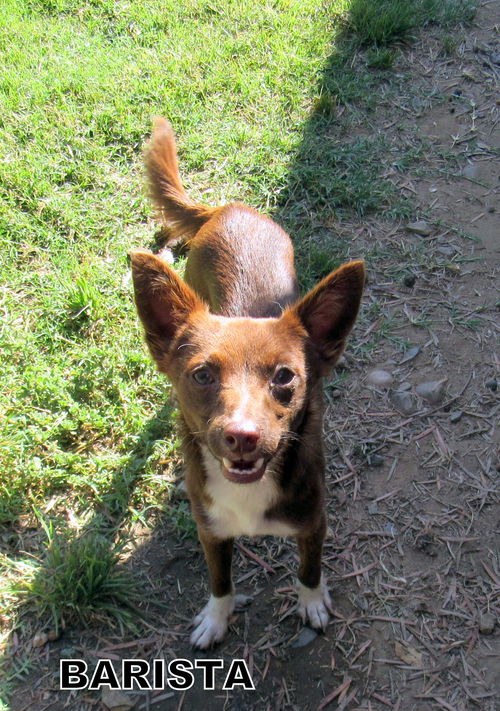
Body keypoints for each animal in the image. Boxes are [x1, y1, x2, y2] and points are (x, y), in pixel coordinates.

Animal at [130, 118, 364, 652]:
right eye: (201, 374)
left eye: (285, 377)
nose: (242, 437)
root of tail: (228, 208)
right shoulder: (211, 533)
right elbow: (221, 581)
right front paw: (217, 619)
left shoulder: (314, 524)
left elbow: (309, 571)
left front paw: (311, 603)